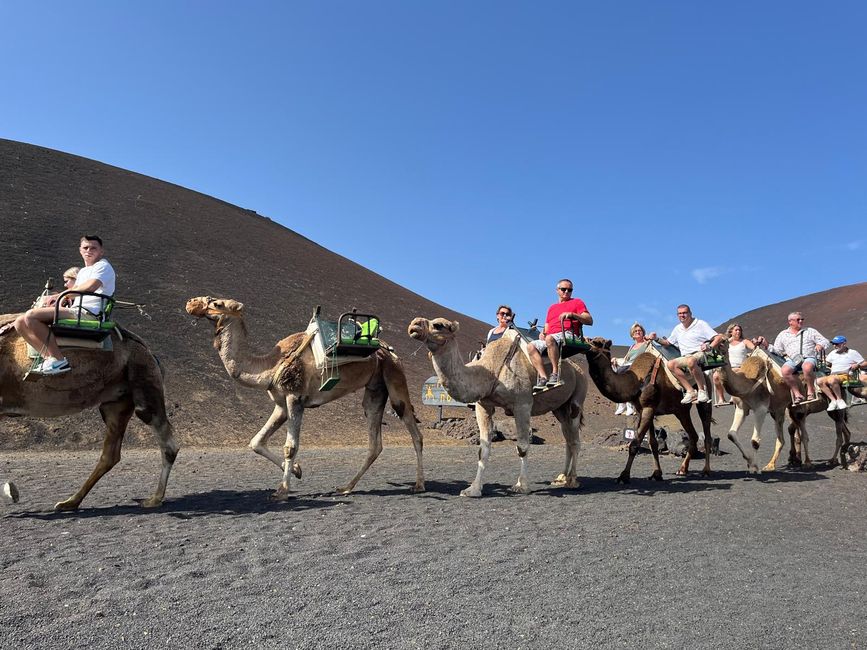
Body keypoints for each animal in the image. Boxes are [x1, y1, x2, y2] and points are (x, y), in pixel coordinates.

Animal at [0, 312, 178, 508]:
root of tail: (149, 352)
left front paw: (12, 492)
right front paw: (11, 491)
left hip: (143, 379)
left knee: (167, 444)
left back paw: (154, 499)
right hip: (116, 402)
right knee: (110, 455)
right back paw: (70, 502)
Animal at [186, 296, 424, 494]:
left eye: (217, 303)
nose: (191, 303)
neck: (270, 366)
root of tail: (389, 350)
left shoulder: (295, 398)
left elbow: (290, 447)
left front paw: (282, 491)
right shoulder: (281, 405)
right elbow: (256, 442)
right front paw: (298, 471)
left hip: (394, 377)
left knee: (413, 428)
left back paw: (419, 485)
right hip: (375, 389)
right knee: (375, 442)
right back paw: (346, 487)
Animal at [408, 318, 588, 496]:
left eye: (438, 325)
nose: (414, 325)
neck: (491, 371)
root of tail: (578, 370)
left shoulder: (522, 404)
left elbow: (522, 446)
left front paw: (521, 486)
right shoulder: (484, 405)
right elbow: (483, 449)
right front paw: (472, 489)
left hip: (577, 398)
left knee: (575, 440)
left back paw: (572, 481)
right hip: (559, 409)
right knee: (568, 439)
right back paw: (561, 478)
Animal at [572, 340, 716, 480]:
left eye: (596, 342)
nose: (584, 345)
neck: (636, 382)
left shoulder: (649, 408)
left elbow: (635, 444)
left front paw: (624, 476)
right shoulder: (644, 410)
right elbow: (653, 443)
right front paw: (656, 474)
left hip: (704, 401)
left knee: (707, 434)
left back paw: (706, 470)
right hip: (681, 410)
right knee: (693, 435)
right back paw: (682, 469)